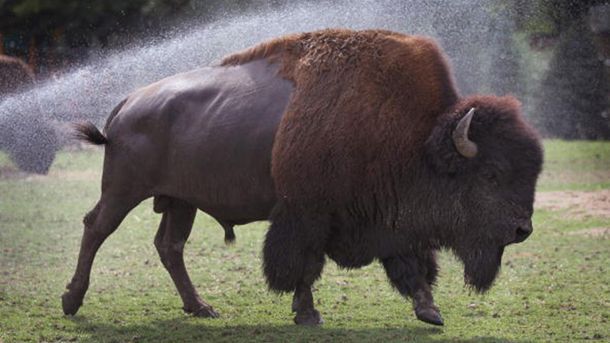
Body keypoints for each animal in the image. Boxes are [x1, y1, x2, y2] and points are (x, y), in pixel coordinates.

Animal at [63, 29, 540, 328]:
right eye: (492, 174)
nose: (523, 230)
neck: (417, 139)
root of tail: (127, 103)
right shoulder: (307, 215)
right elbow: (305, 266)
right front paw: (308, 315)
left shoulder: (387, 220)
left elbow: (411, 264)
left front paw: (430, 312)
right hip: (124, 190)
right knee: (96, 227)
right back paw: (72, 300)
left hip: (181, 201)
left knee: (170, 246)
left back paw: (201, 308)